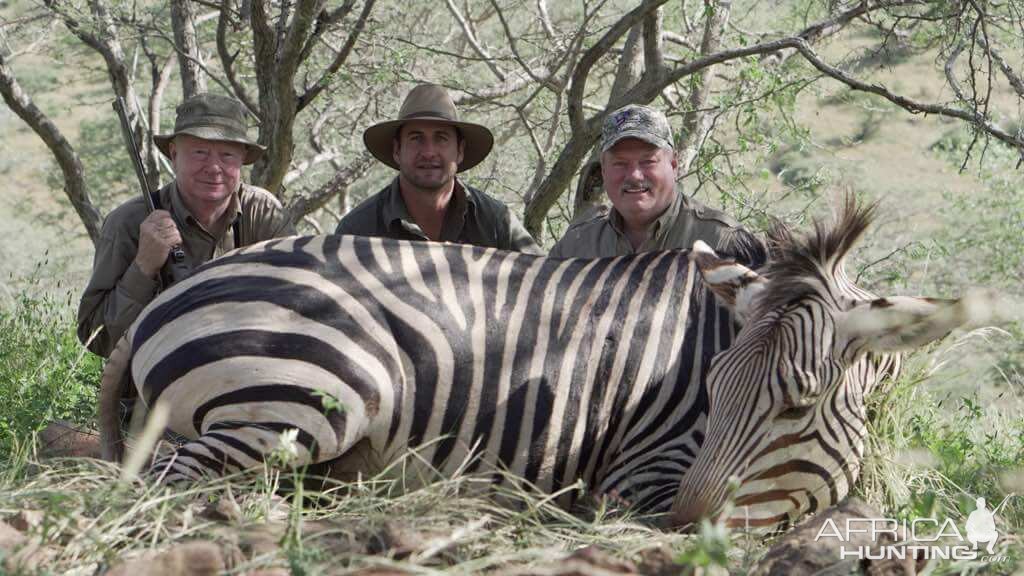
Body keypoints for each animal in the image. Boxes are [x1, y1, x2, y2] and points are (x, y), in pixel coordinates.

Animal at [97, 198, 991, 528]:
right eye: (711, 391)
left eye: (799, 403)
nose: (681, 533)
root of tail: (169, 299)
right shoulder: (645, 469)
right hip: (308, 393)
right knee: (162, 483)